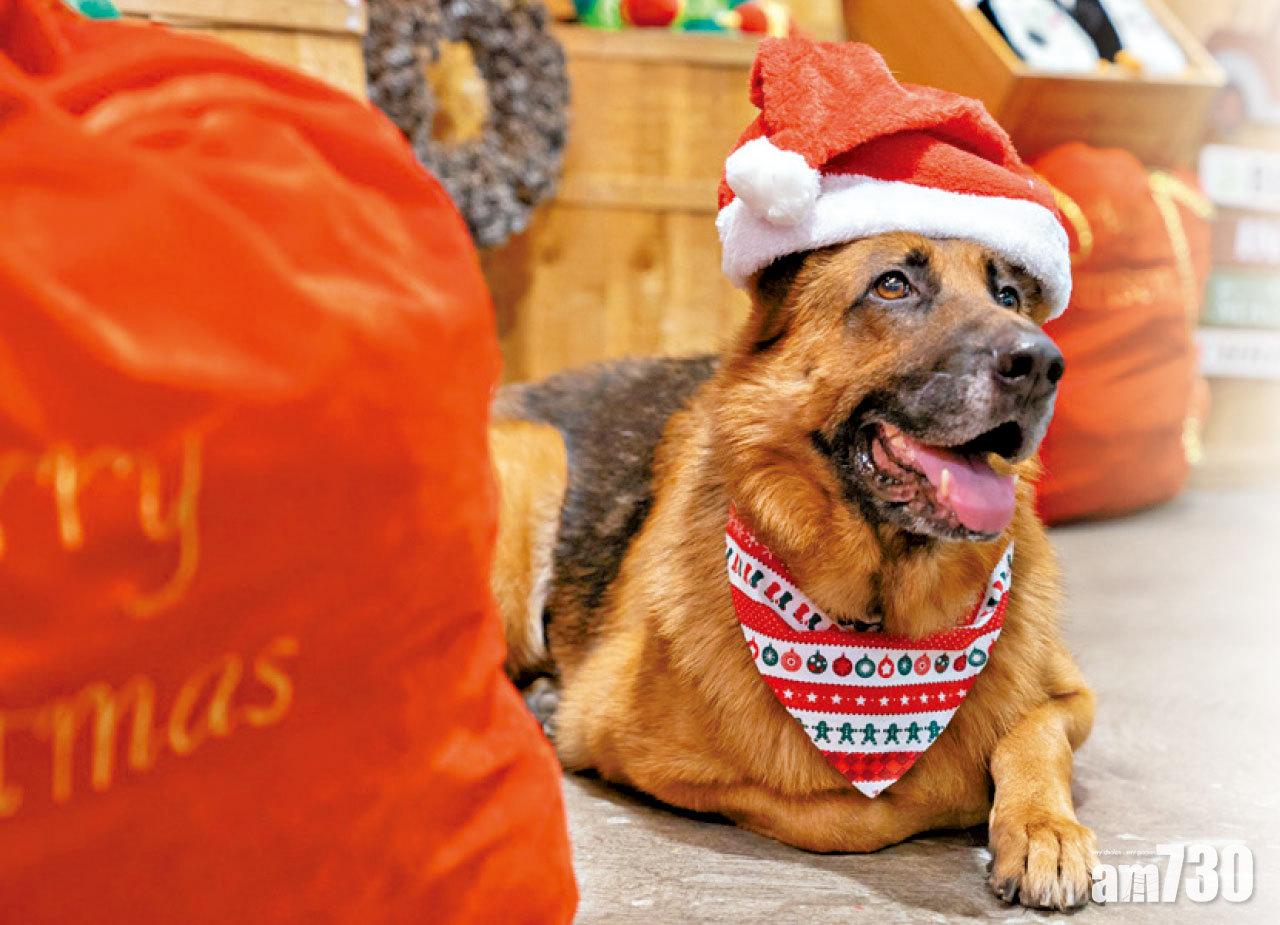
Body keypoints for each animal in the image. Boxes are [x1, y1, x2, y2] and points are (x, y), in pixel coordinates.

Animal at [490, 230, 1095, 911]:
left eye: (1008, 296)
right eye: (892, 285)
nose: (1043, 365)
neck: (885, 624)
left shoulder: (1075, 697)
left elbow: (1033, 729)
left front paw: (1044, 827)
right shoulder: (619, 740)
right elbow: (856, 815)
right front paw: (963, 793)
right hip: (533, 463)